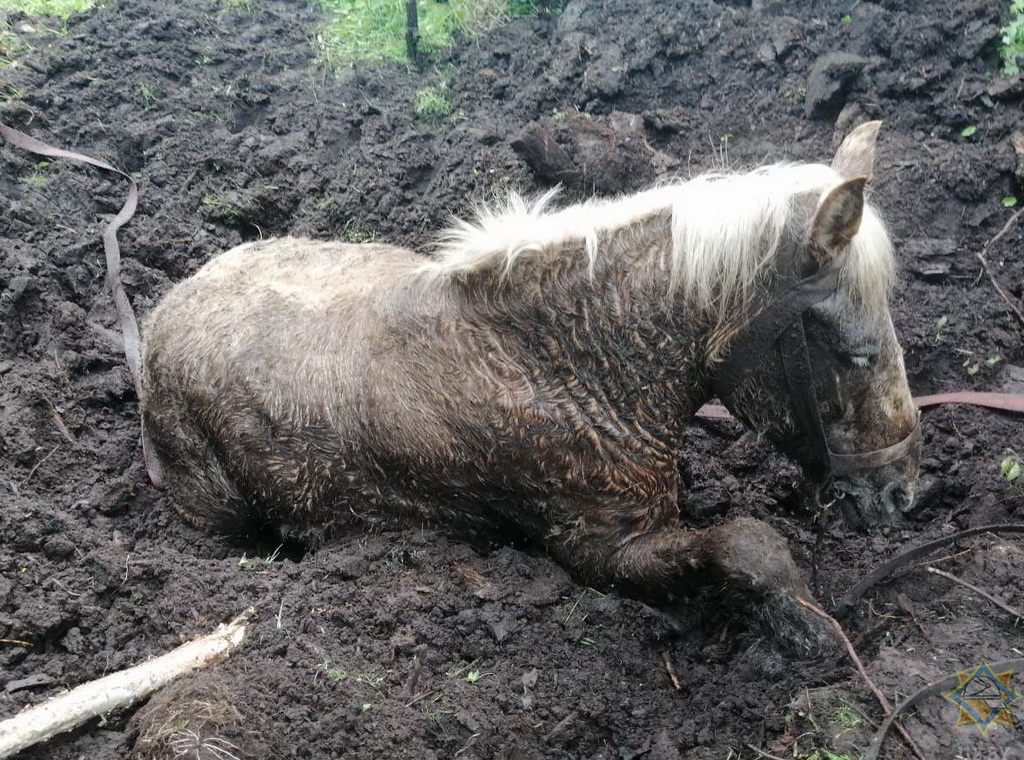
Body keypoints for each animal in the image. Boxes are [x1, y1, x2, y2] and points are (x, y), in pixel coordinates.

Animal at [140, 121, 920, 660]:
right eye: (855, 354)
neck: (559, 362)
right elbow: (747, 540)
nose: (904, 492)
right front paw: (806, 629)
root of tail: (165, 310)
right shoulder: (598, 551)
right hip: (216, 511)